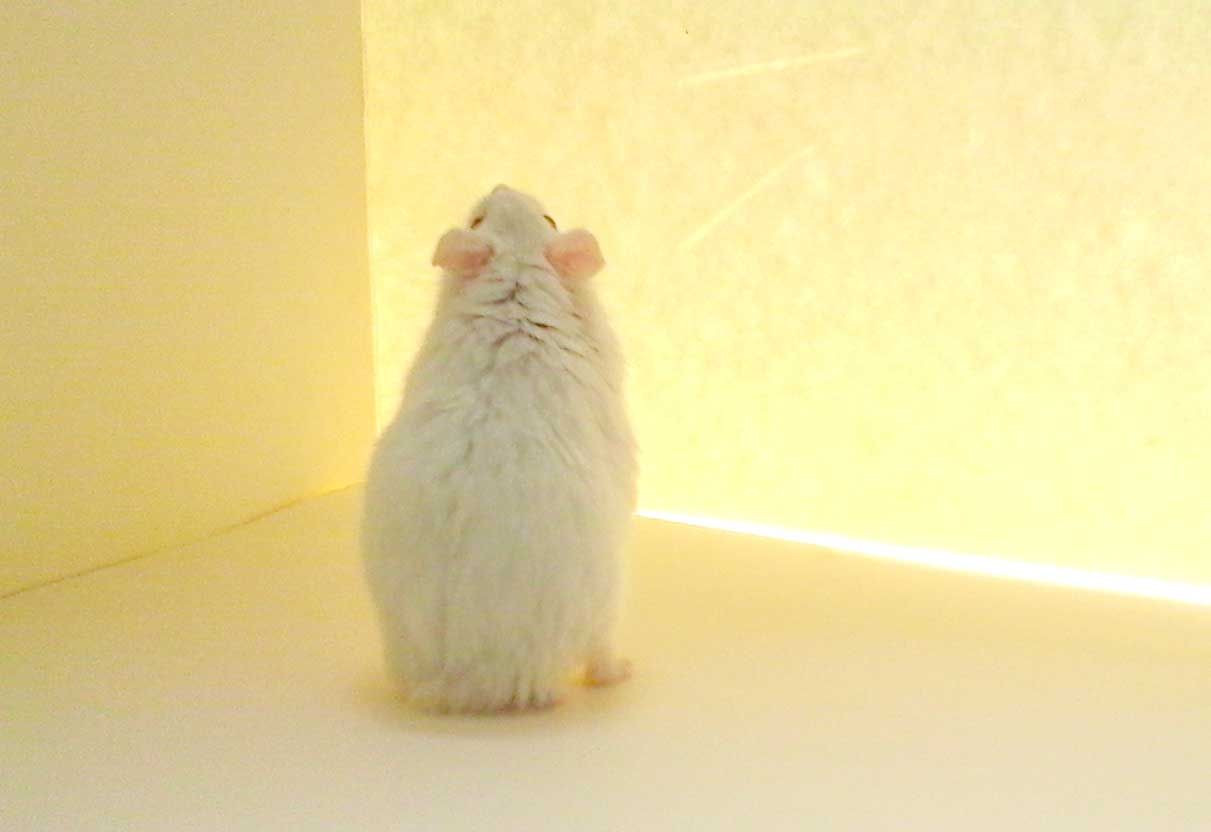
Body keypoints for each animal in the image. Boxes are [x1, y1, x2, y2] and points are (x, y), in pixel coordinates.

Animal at [361, 185, 637, 713]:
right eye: (552, 219)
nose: (501, 186)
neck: (516, 267)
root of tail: (462, 679)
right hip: (607, 600)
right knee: (599, 655)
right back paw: (623, 671)